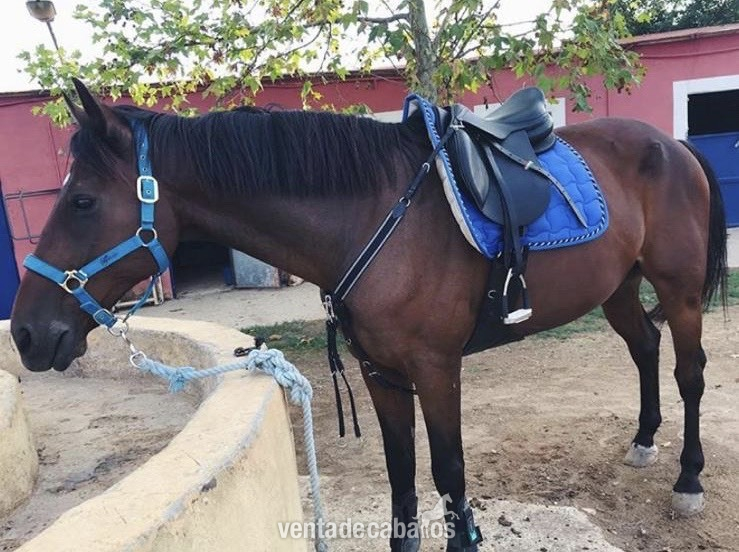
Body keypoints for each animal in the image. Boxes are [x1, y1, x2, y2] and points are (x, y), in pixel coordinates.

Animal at [10, 79, 727, 552]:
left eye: (80, 200)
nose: (26, 332)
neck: (374, 215)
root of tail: (672, 146)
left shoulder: (435, 369)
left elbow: (448, 475)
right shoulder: (380, 373)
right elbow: (402, 480)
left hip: (679, 290)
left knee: (689, 371)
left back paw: (687, 478)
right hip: (617, 289)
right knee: (644, 347)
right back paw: (642, 440)